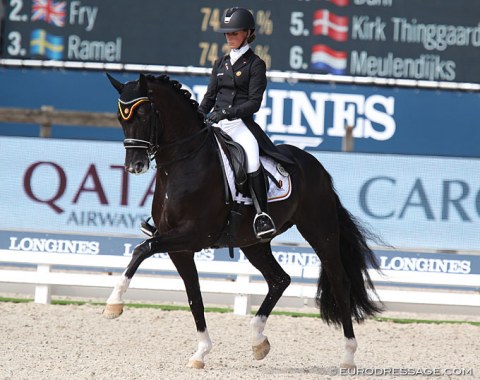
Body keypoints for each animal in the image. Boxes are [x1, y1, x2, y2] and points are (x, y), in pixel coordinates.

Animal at [105, 73, 382, 368]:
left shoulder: (193, 235)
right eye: (121, 118)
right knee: (279, 280)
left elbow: (142, 249)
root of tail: (315, 165)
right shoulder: (180, 249)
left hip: (321, 232)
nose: (134, 166)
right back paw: (258, 340)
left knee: (340, 283)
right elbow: (194, 297)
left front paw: (114, 303)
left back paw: (348, 356)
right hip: (253, 243)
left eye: (144, 114)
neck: (183, 164)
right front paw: (201, 352)